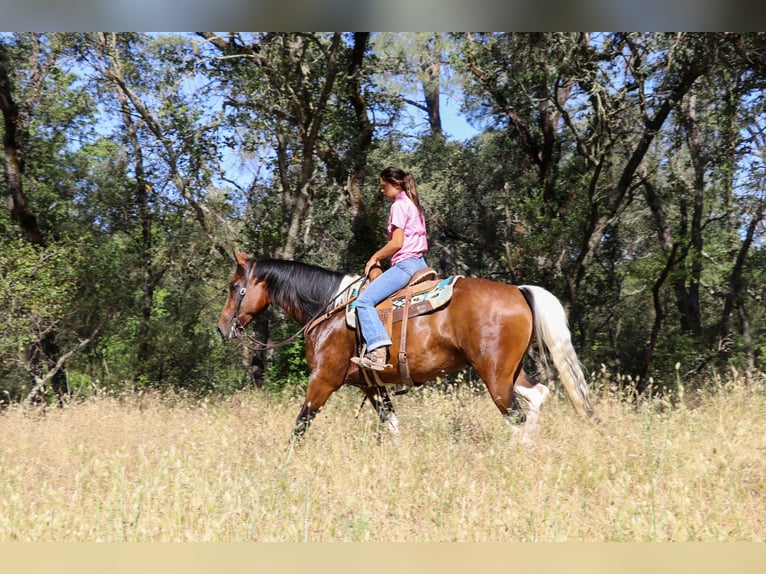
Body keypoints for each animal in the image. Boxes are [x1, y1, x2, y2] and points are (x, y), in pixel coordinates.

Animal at [216, 252, 596, 439]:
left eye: (235, 287)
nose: (222, 328)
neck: (328, 309)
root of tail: (518, 291)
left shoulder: (323, 380)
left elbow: (300, 425)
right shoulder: (372, 387)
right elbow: (392, 425)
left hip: (495, 377)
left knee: (516, 415)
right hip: (509, 372)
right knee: (537, 396)